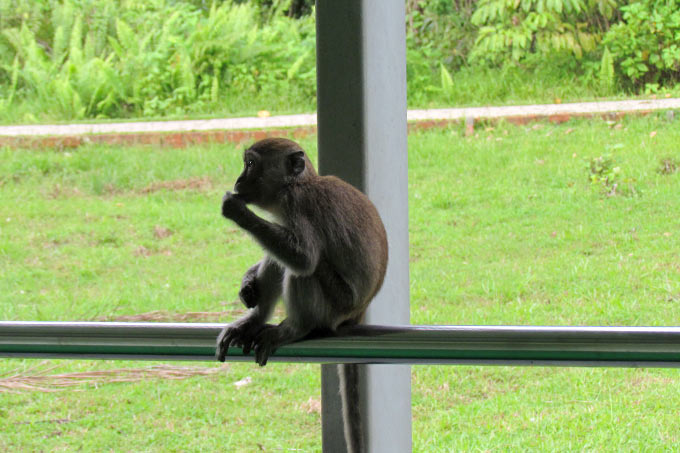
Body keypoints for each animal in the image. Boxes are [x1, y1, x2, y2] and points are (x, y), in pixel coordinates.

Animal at [216, 137, 388, 453]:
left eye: (250, 164)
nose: (238, 180)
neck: (296, 185)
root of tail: (355, 314)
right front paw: (249, 280)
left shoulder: (297, 205)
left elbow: (304, 259)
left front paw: (238, 213)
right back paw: (255, 320)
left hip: (335, 304)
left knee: (305, 269)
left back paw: (296, 328)